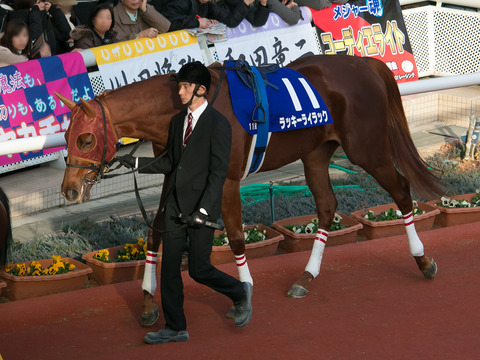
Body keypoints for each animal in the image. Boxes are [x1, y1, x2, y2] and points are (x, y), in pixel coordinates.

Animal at [57, 54, 442, 328]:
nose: (69, 190)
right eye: (66, 136)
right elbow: (155, 233)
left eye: (86, 139)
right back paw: (305, 277)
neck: (186, 109)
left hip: (367, 148)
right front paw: (149, 302)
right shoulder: (174, 173)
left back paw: (423, 261)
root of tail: (364, 63)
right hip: (316, 152)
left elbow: (237, 238)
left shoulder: (225, 179)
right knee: (327, 205)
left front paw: (243, 297)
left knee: (401, 191)